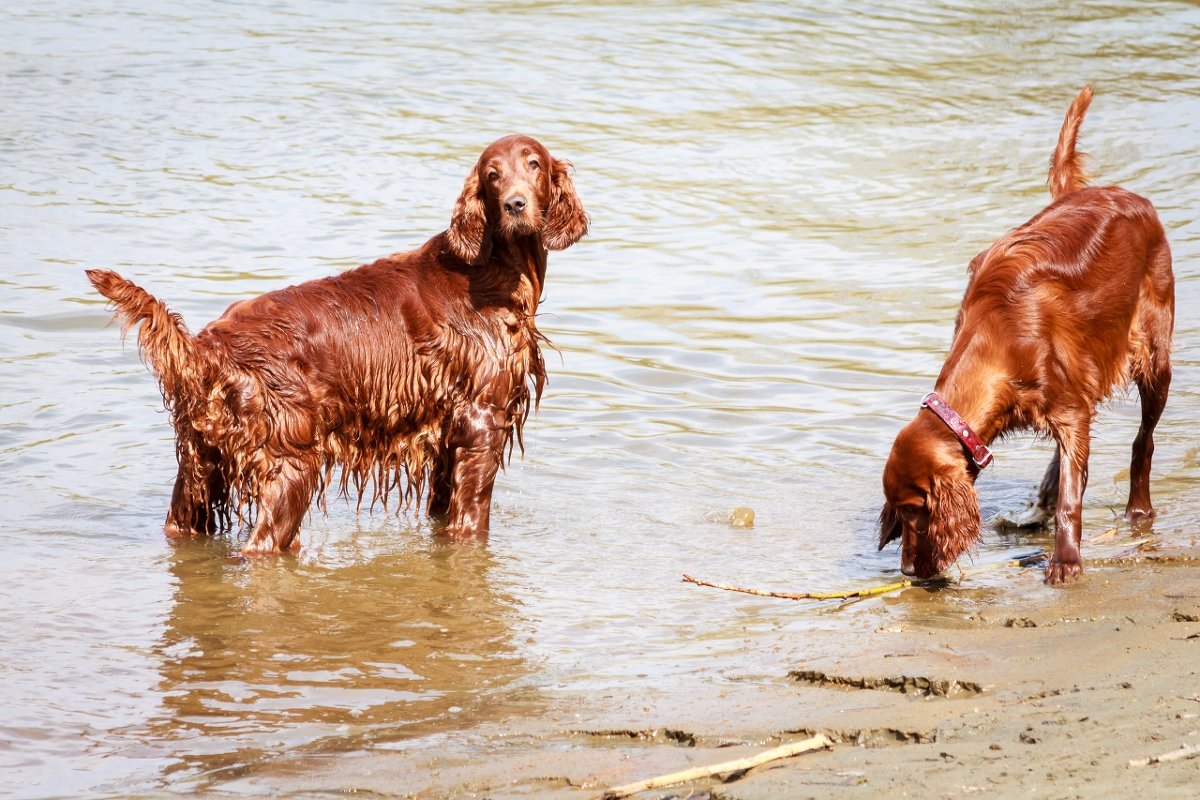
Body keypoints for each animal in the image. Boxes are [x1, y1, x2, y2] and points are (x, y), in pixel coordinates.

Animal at [87, 134, 585, 554]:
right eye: (492, 174)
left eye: (534, 165)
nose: (515, 204)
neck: (493, 269)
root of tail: (207, 345)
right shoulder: (482, 422)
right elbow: (471, 523)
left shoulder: (447, 436)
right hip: (290, 465)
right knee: (263, 546)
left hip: (199, 470)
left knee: (182, 523)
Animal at [883, 87, 1171, 585]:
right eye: (898, 512)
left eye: (915, 509)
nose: (909, 574)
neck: (998, 340)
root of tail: (1126, 195)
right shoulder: (1070, 404)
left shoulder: (1070, 409)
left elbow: (1074, 494)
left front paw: (1066, 560)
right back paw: (1036, 510)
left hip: (1153, 356)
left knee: (1143, 441)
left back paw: (1138, 510)